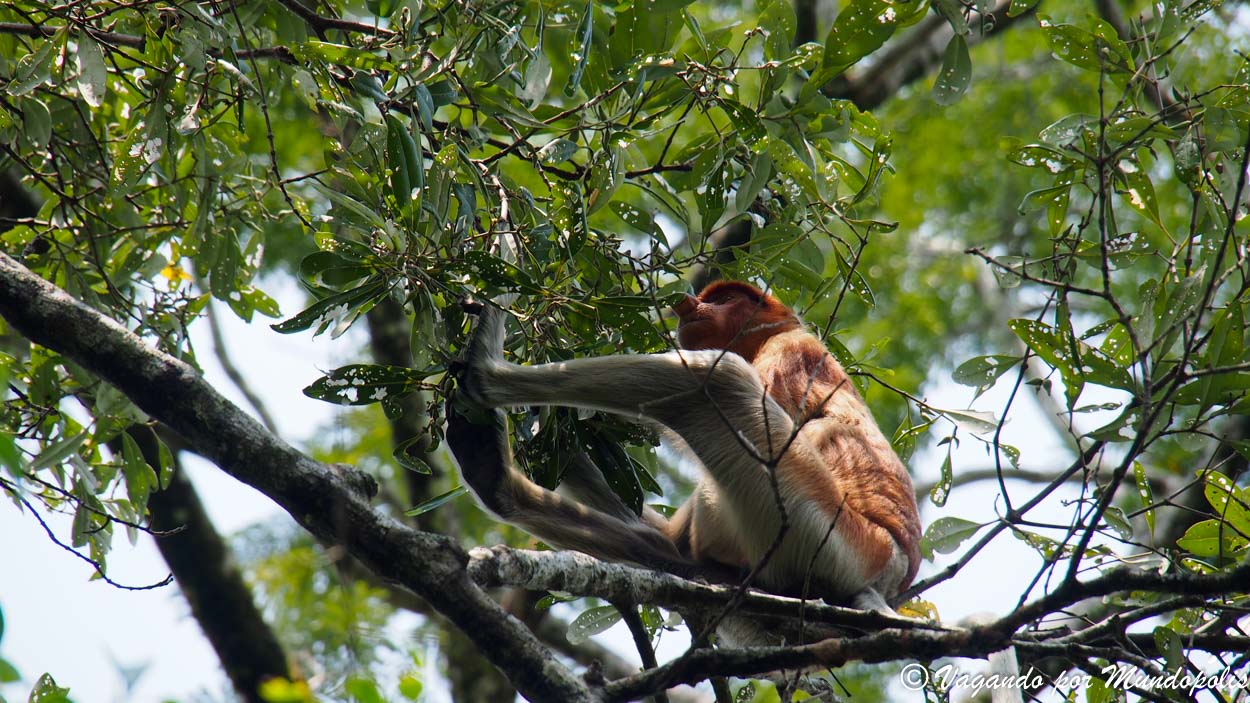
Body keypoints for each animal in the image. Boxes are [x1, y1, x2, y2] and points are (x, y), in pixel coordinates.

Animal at [446, 281, 922, 614]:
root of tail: (890, 575)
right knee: (667, 547)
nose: (690, 305)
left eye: (726, 298)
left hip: (827, 536)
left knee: (720, 381)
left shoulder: (787, 352)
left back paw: (486, 375)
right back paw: (491, 475)